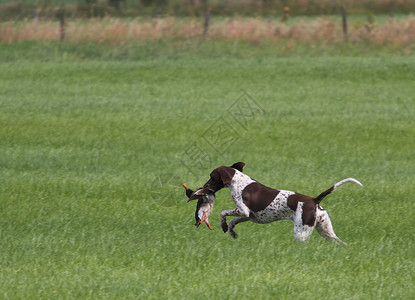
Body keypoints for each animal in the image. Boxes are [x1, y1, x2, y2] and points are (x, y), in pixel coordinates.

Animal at [190, 162, 362, 244]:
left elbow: (222, 213)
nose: (203, 187)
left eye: (212, 177)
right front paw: (231, 231)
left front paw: (224, 225)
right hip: (326, 231)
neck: (239, 182)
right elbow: (233, 221)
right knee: (341, 243)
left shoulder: (243, 211)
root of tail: (314, 200)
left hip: (301, 232)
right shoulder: (249, 216)